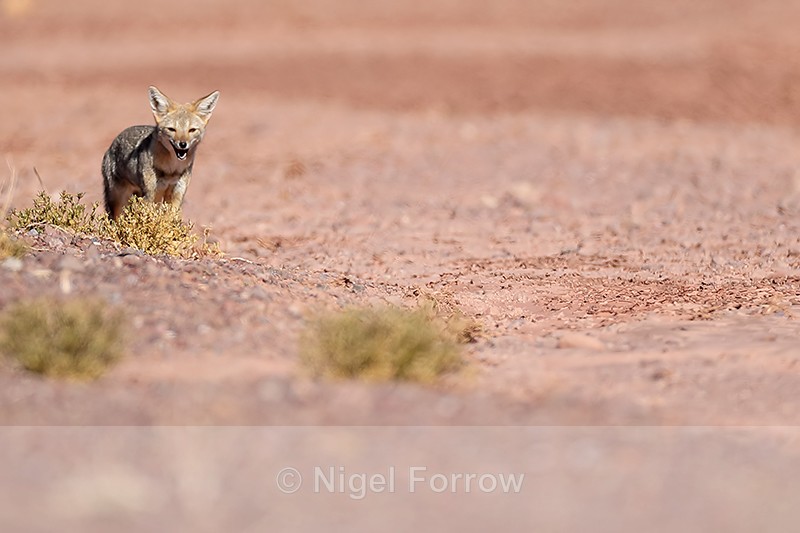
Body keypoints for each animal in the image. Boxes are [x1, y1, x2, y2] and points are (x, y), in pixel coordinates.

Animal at [102, 86, 220, 220]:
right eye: (172, 129)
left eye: (192, 130)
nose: (183, 144)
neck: (172, 169)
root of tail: (112, 144)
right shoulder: (151, 193)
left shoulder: (177, 192)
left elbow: (171, 217)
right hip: (119, 198)